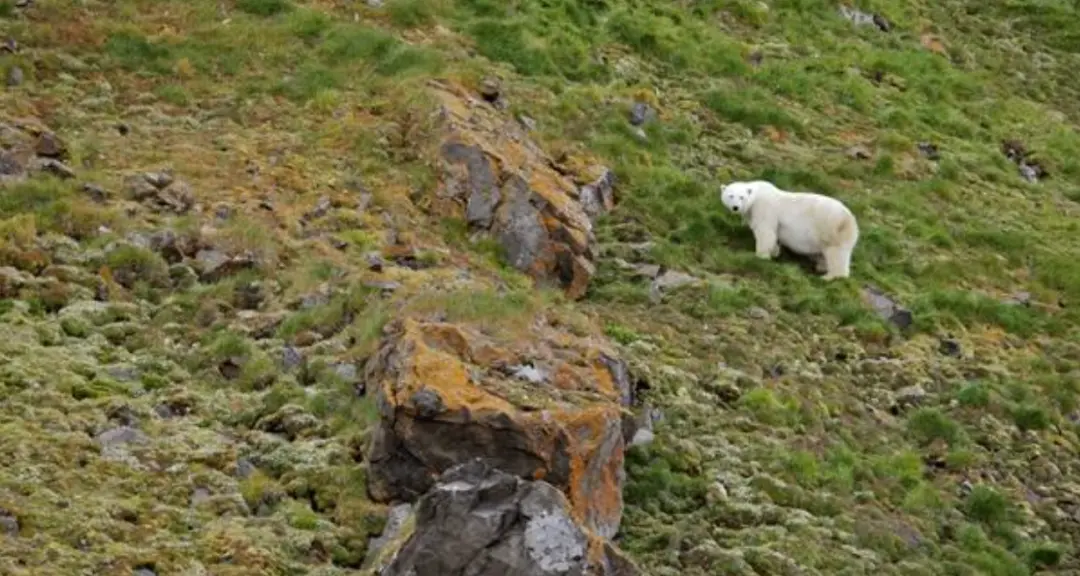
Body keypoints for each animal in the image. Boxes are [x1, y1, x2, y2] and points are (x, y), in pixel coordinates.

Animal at [721, 178, 855, 278]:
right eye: (730, 196)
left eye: (741, 197)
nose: (735, 207)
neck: (757, 194)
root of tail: (852, 221)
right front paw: (775, 251)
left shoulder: (763, 208)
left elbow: (765, 231)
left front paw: (761, 256)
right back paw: (821, 267)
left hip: (831, 228)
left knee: (836, 253)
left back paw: (830, 277)